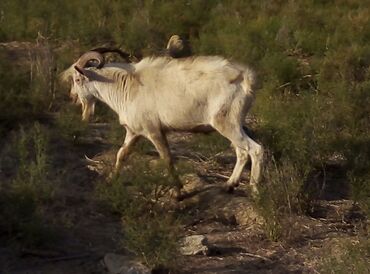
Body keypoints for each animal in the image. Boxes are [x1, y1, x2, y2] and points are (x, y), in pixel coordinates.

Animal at [66, 51, 264, 196]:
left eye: (77, 79)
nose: (73, 97)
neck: (127, 86)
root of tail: (245, 78)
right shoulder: (133, 132)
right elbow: (121, 154)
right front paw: (112, 180)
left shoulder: (154, 131)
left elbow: (167, 158)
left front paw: (179, 192)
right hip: (234, 125)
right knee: (242, 152)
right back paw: (229, 185)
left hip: (226, 123)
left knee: (255, 150)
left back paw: (254, 190)